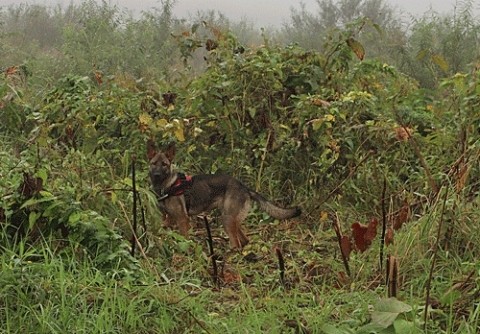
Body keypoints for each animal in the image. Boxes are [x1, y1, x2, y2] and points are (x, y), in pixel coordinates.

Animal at [150, 145, 300, 248]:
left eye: (164, 165)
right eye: (153, 164)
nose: (156, 175)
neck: (167, 186)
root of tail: (244, 187)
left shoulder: (182, 219)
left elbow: (185, 240)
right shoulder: (167, 219)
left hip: (227, 219)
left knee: (237, 244)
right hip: (232, 219)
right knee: (244, 241)